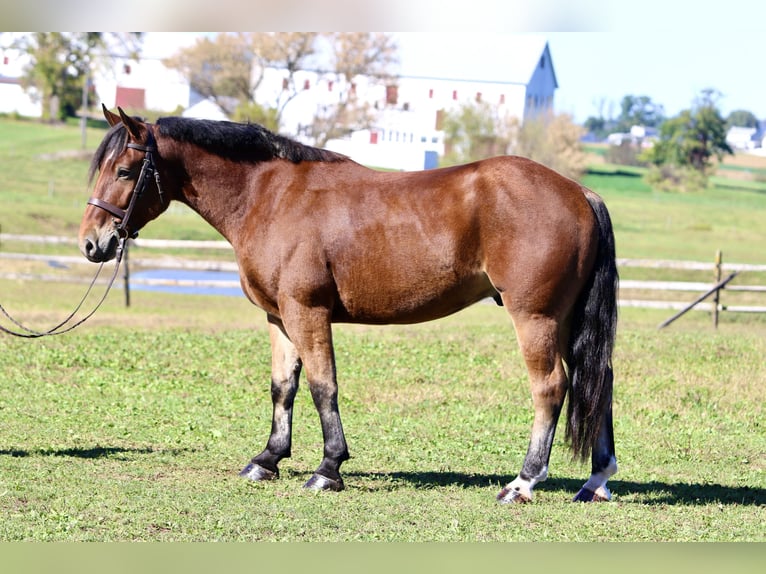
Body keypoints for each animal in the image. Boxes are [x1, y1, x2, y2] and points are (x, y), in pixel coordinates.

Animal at [79, 106, 618, 503]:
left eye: (124, 170)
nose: (92, 243)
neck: (270, 197)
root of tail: (580, 191)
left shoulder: (307, 311)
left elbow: (323, 387)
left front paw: (328, 468)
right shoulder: (279, 317)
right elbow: (283, 388)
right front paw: (267, 460)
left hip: (535, 318)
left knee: (550, 388)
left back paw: (523, 482)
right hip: (565, 322)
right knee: (600, 381)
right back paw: (596, 481)